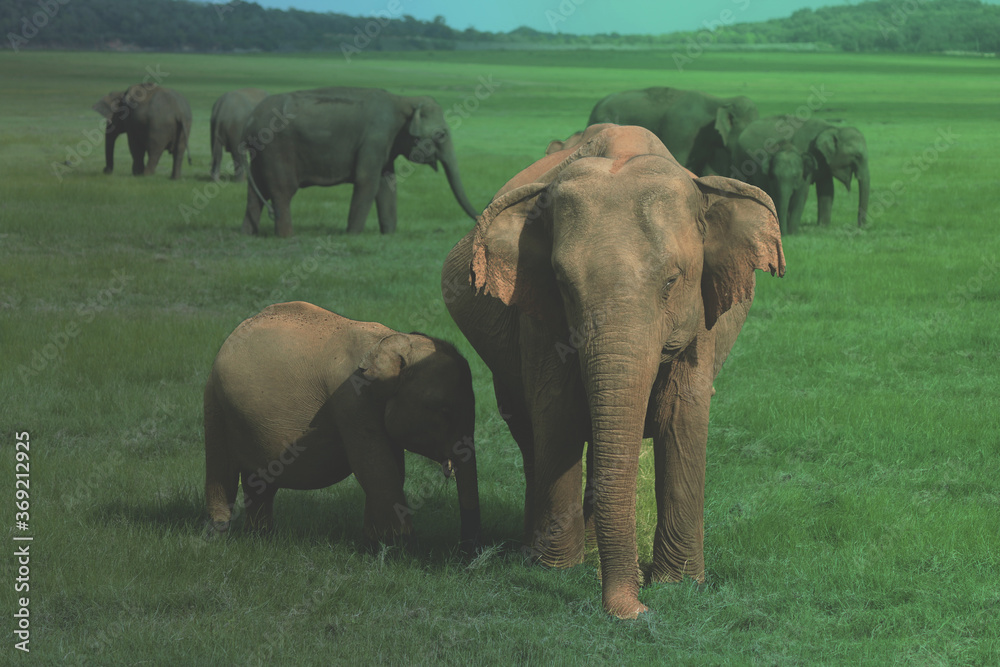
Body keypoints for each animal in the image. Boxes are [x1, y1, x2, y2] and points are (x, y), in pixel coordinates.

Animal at [203, 301, 480, 551]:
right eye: (443, 411)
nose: (464, 552)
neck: (392, 340)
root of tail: (235, 332)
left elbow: (391, 466)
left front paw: (376, 543)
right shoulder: (351, 398)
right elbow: (376, 467)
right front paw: (400, 547)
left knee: (260, 484)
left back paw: (260, 535)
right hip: (216, 403)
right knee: (221, 470)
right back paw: (219, 536)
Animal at [241, 87, 480, 237]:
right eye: (441, 135)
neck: (404, 101)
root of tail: (250, 121)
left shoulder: (385, 145)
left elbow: (387, 183)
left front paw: (389, 234)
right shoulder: (375, 138)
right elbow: (368, 182)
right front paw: (353, 235)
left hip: (261, 155)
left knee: (255, 193)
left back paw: (249, 234)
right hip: (276, 150)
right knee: (282, 191)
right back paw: (287, 237)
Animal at [441, 124, 784, 619]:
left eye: (671, 281)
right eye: (563, 285)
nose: (638, 611)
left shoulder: (702, 316)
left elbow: (681, 414)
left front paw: (679, 584)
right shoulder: (537, 310)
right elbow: (558, 412)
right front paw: (557, 573)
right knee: (529, 430)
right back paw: (547, 553)